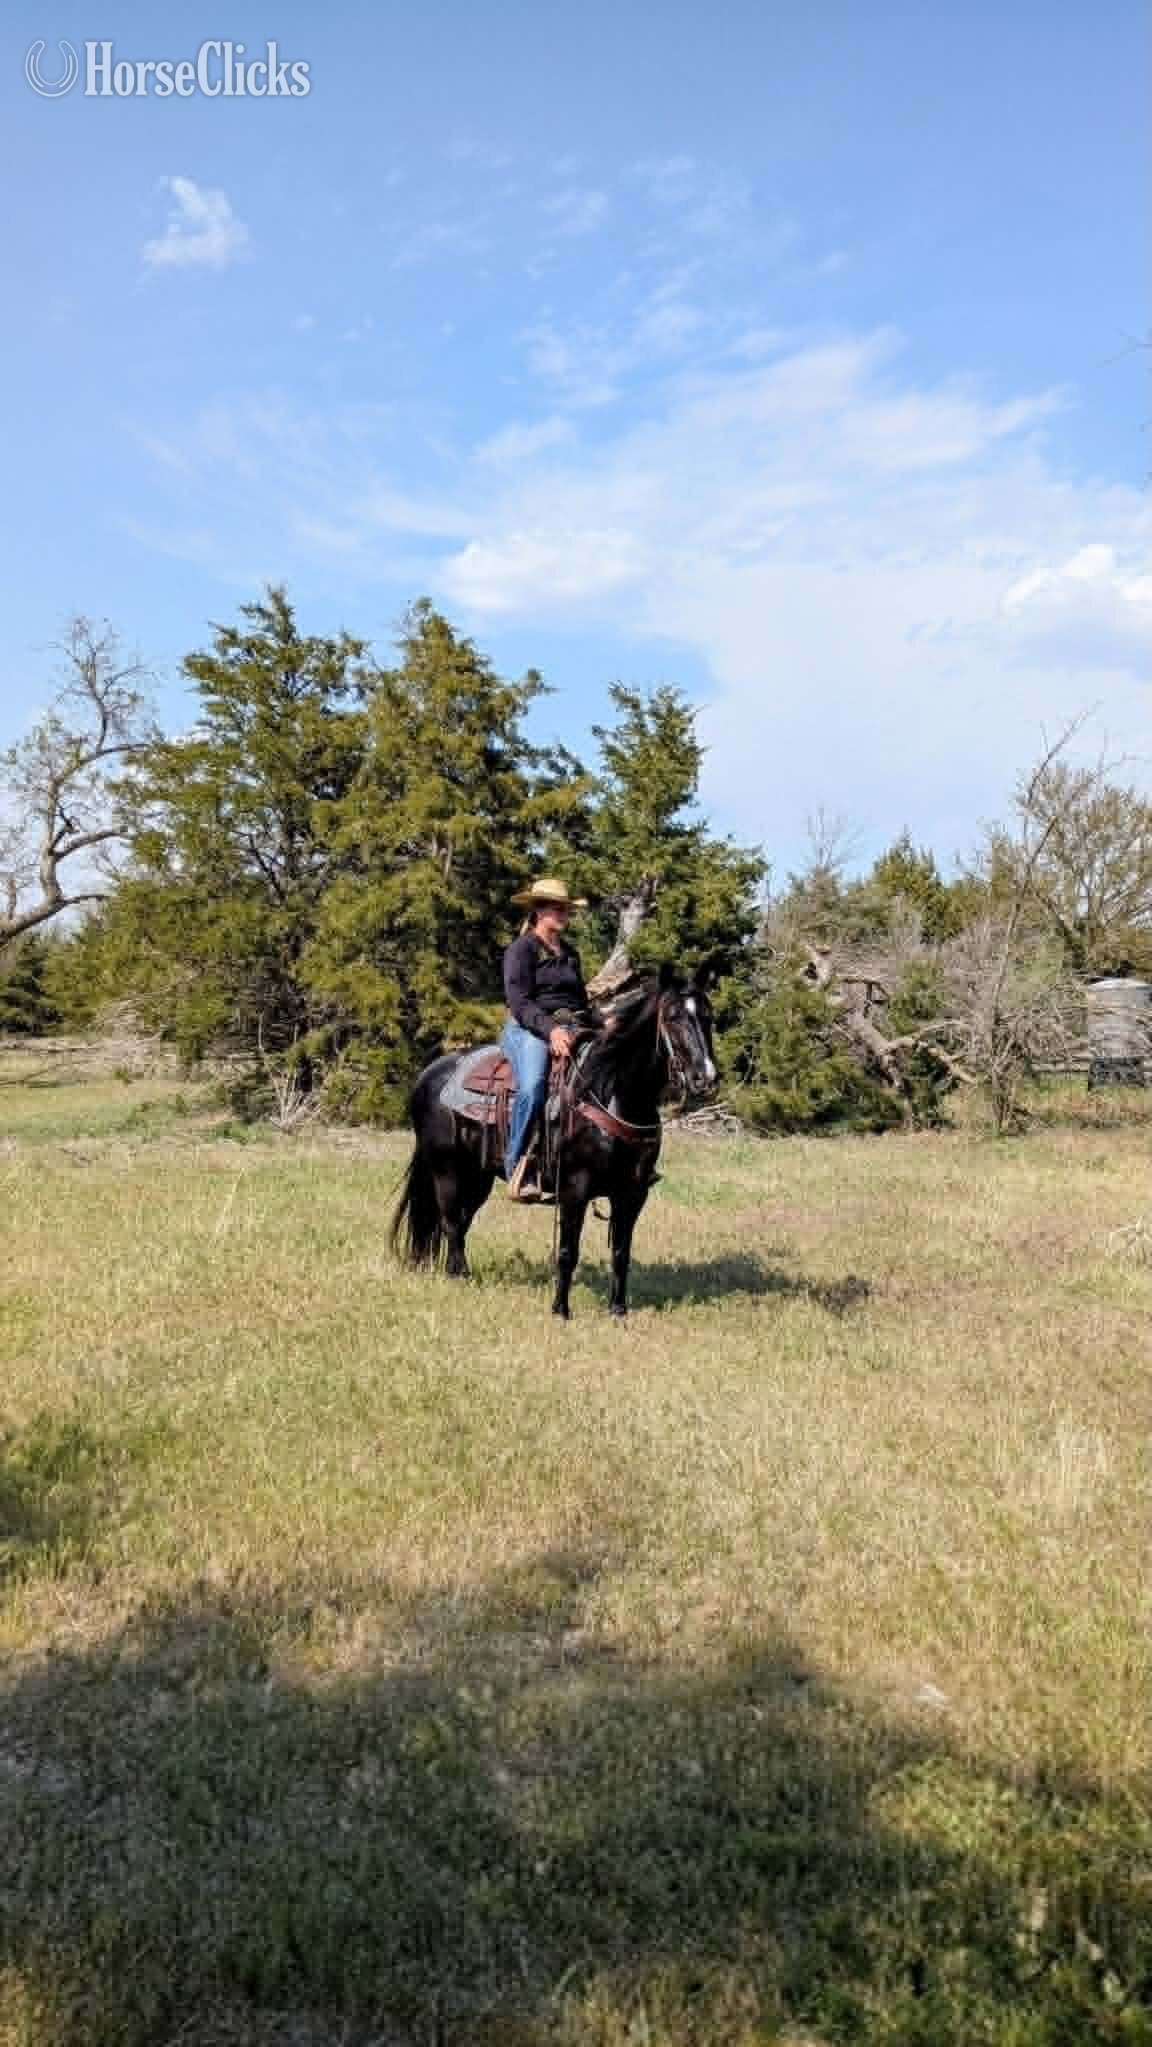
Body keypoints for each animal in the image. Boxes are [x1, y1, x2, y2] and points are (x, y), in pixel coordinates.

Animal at [390, 965, 717, 1317]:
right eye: (673, 1016)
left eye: (708, 1015)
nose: (707, 1078)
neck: (610, 1091)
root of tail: (429, 1074)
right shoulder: (575, 1188)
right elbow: (567, 1252)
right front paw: (560, 1310)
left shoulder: (633, 1193)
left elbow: (620, 1253)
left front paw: (618, 1310)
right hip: (446, 1169)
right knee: (450, 1219)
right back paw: (458, 1276)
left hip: (478, 1176)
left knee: (462, 1222)